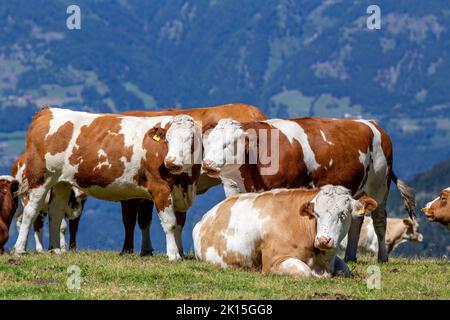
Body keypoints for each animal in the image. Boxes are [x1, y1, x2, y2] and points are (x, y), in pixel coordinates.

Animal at [13, 107, 201, 260]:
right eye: (167, 139)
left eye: (191, 138)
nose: (171, 161)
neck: (187, 181)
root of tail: (47, 111)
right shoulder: (160, 188)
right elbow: (170, 223)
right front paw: (174, 255)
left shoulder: (180, 193)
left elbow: (179, 224)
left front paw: (180, 253)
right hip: (40, 177)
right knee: (30, 212)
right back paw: (20, 249)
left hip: (61, 182)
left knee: (56, 212)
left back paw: (56, 250)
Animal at [192, 185, 378, 278]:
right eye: (316, 214)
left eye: (343, 214)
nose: (323, 240)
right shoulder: (273, 262)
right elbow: (304, 272)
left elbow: (344, 270)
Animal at [200, 117, 414, 262]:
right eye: (208, 143)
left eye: (229, 144)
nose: (207, 164)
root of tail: (373, 124)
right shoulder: (234, 190)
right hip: (359, 190)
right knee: (356, 221)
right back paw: (350, 257)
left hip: (380, 185)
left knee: (379, 221)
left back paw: (382, 258)